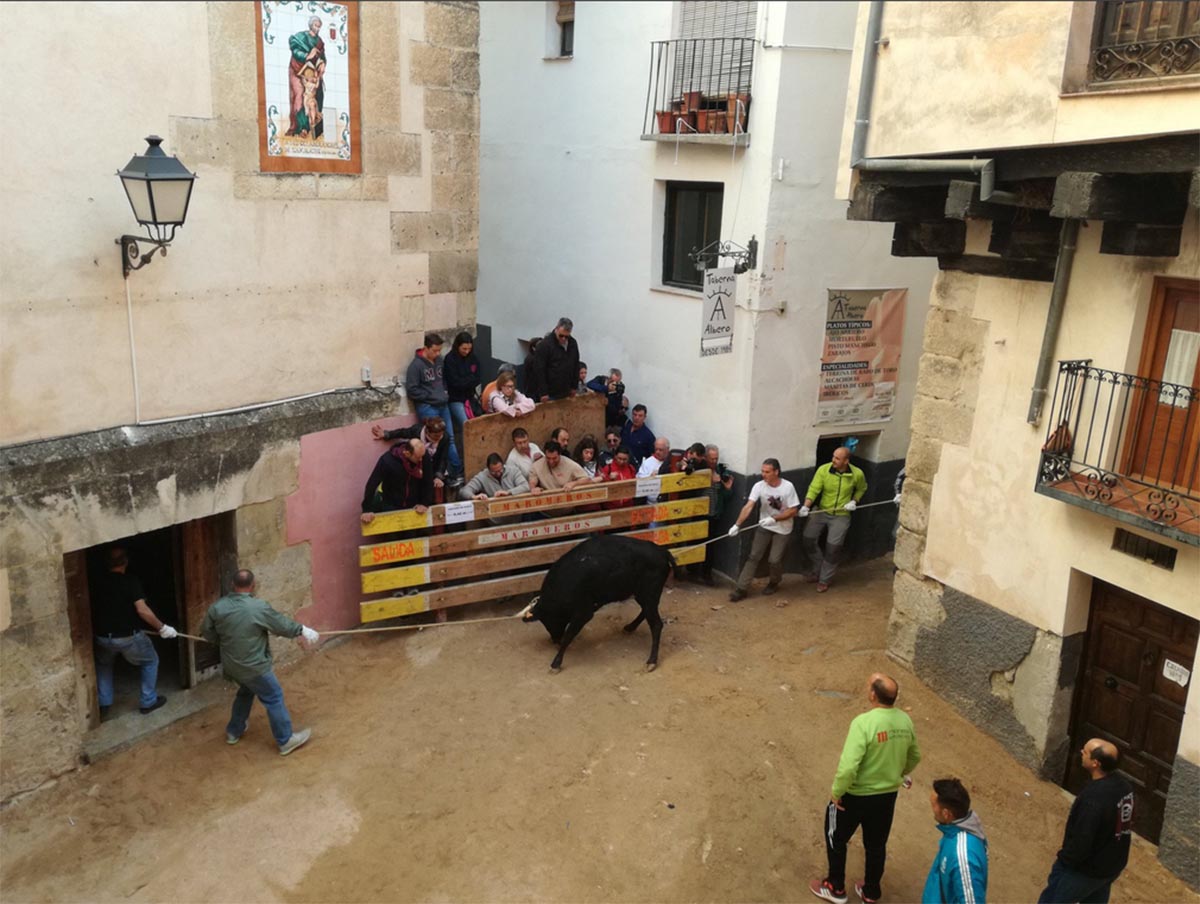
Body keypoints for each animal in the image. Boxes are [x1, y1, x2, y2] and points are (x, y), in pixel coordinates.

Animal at [523, 535, 676, 672]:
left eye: (548, 620)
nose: (555, 639)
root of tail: (662, 552)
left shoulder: (583, 613)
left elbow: (569, 635)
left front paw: (556, 663)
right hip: (643, 595)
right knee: (646, 612)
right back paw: (630, 627)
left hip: (649, 593)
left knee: (656, 625)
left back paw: (651, 661)